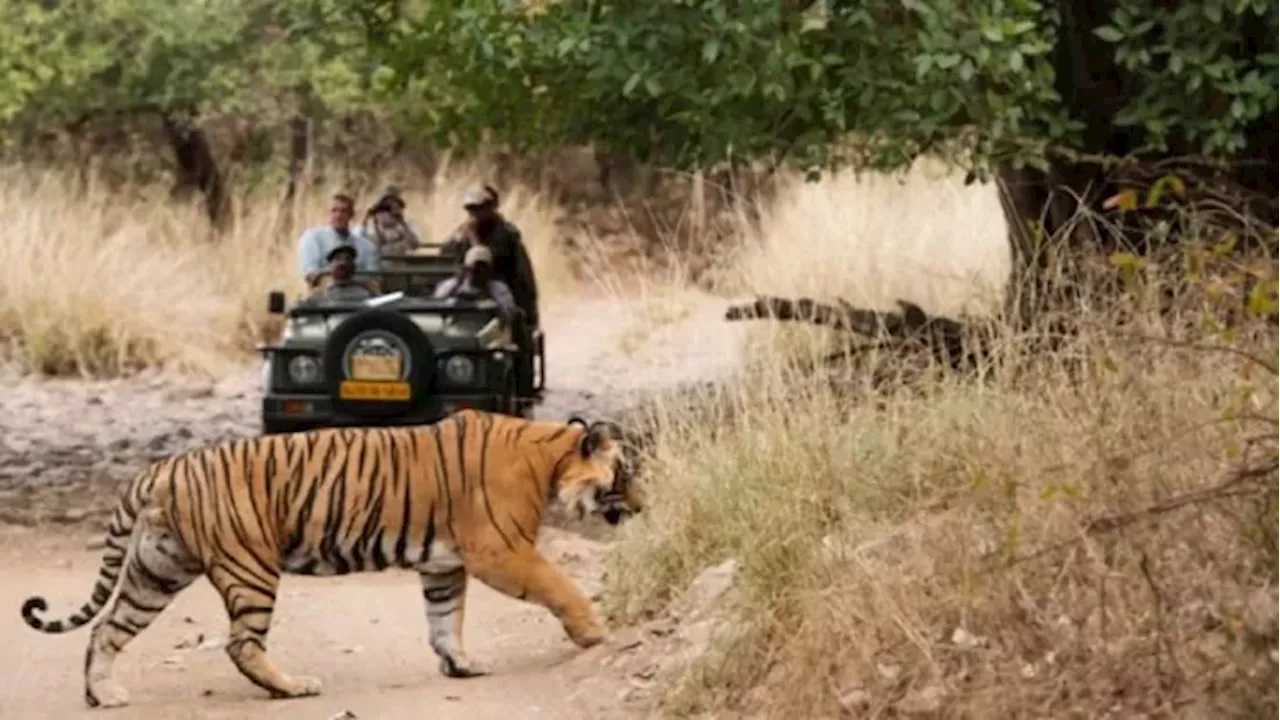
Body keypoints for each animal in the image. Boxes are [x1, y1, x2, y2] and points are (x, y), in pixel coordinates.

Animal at [20, 407, 640, 707]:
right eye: (624, 473)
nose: (641, 504)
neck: (550, 458)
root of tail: (160, 468)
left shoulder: (444, 565)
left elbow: (445, 620)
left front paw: (461, 665)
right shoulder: (501, 551)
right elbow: (561, 586)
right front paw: (596, 632)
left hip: (156, 571)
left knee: (105, 629)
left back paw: (104, 695)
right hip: (249, 568)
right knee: (241, 644)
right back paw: (291, 687)